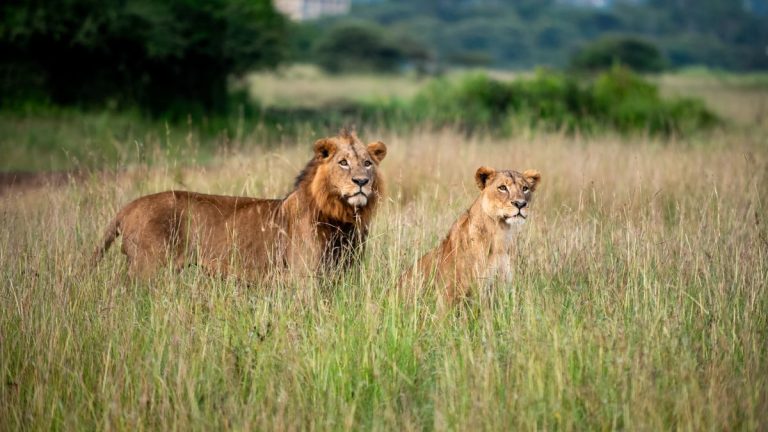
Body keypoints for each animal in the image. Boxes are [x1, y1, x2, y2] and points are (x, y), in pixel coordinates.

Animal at [92, 130, 387, 279]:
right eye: (343, 163)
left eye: (367, 163)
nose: (361, 181)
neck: (342, 217)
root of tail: (128, 207)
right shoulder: (303, 277)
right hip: (147, 268)